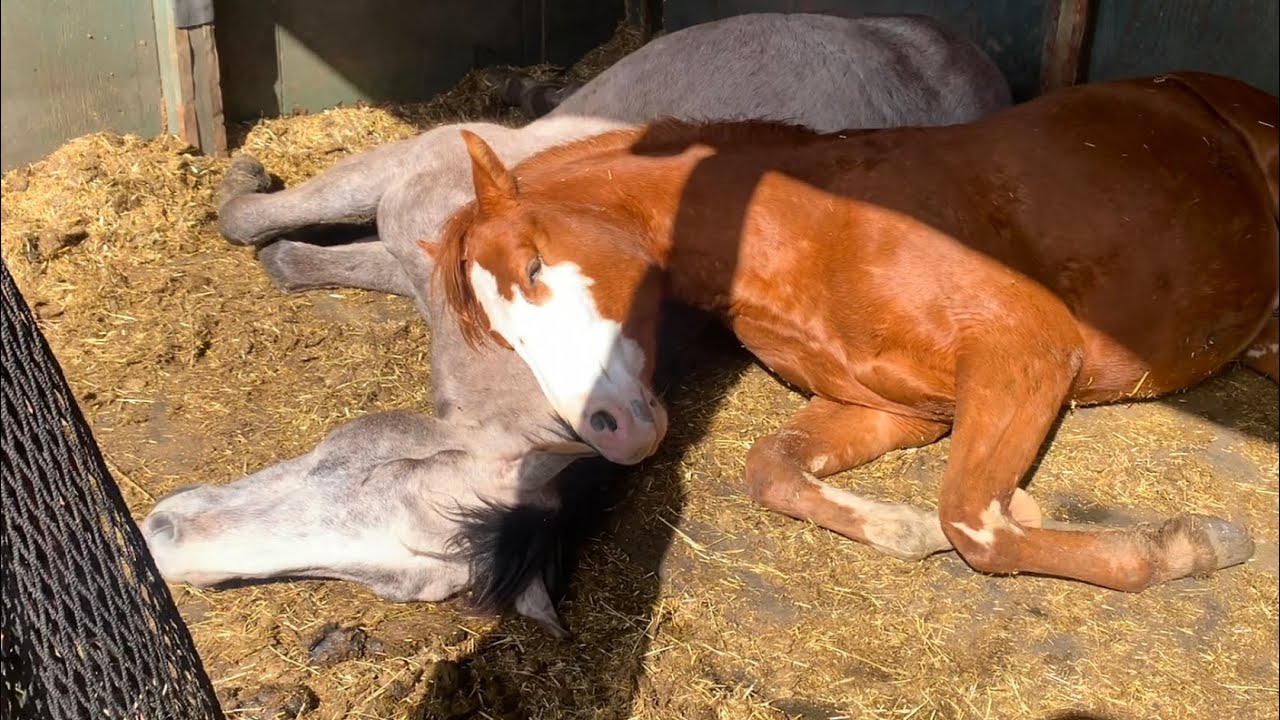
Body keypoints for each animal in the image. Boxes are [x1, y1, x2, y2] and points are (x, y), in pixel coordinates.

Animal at [141, 12, 1013, 637]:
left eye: (386, 580)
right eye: (364, 471)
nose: (165, 536)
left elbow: (285, 252)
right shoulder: (412, 186)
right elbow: (260, 231)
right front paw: (249, 179)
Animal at [436, 72, 1279, 593]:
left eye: (536, 263)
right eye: (503, 336)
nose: (609, 431)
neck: (807, 233)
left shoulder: (1026, 353)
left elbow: (976, 525)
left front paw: (1191, 545)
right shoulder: (895, 412)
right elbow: (773, 468)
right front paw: (910, 528)